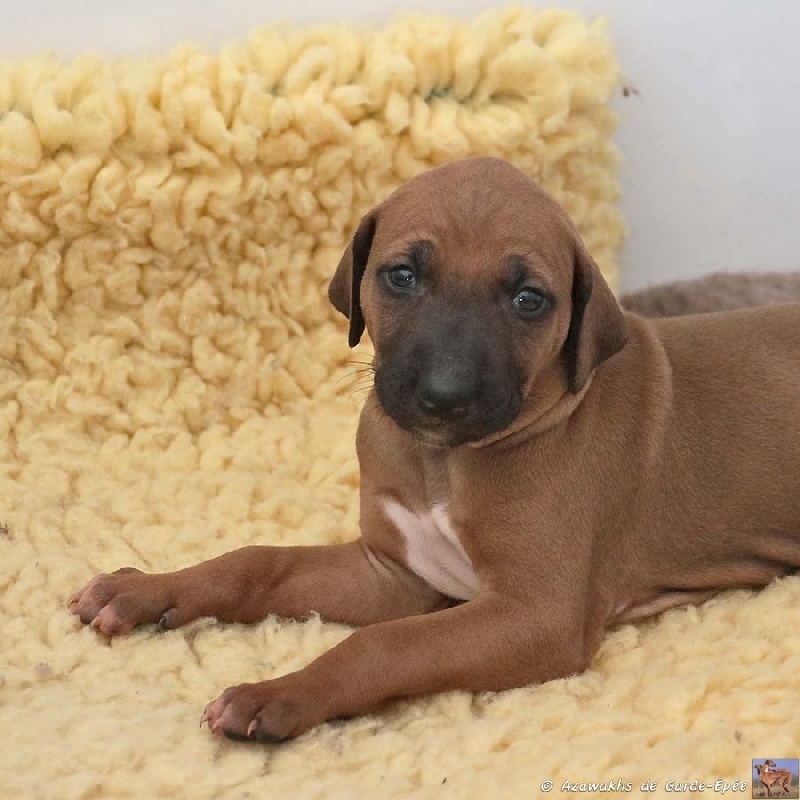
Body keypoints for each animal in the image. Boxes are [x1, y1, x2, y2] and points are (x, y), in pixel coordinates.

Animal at [70, 157, 800, 744]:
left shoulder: (537, 616)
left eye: (529, 299)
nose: (443, 396)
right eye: (402, 275)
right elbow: (257, 562)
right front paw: (146, 589)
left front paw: (278, 694)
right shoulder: (394, 571)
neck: (442, 462)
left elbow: (384, 645)